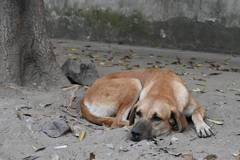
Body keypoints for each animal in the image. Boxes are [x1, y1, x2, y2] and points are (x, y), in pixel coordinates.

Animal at [80, 68, 214, 141]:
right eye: (138, 113)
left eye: (157, 118)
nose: (135, 133)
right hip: (134, 82)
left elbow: (195, 115)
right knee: (118, 121)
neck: (163, 88)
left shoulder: (199, 107)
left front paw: (202, 126)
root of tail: (83, 98)